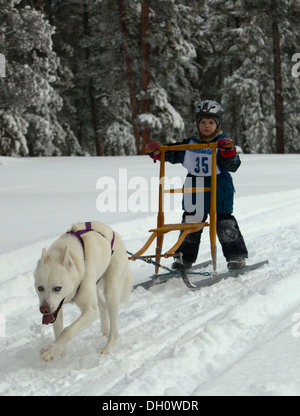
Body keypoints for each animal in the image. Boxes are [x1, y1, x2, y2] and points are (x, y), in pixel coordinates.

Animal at [33, 221, 132, 360]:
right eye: (40, 288)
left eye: (58, 288)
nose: (44, 310)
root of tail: (114, 233)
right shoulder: (57, 309)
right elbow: (58, 330)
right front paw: (58, 351)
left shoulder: (90, 311)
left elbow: (68, 330)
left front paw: (51, 350)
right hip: (93, 288)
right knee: (102, 307)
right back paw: (105, 331)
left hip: (111, 290)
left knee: (114, 327)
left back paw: (108, 346)